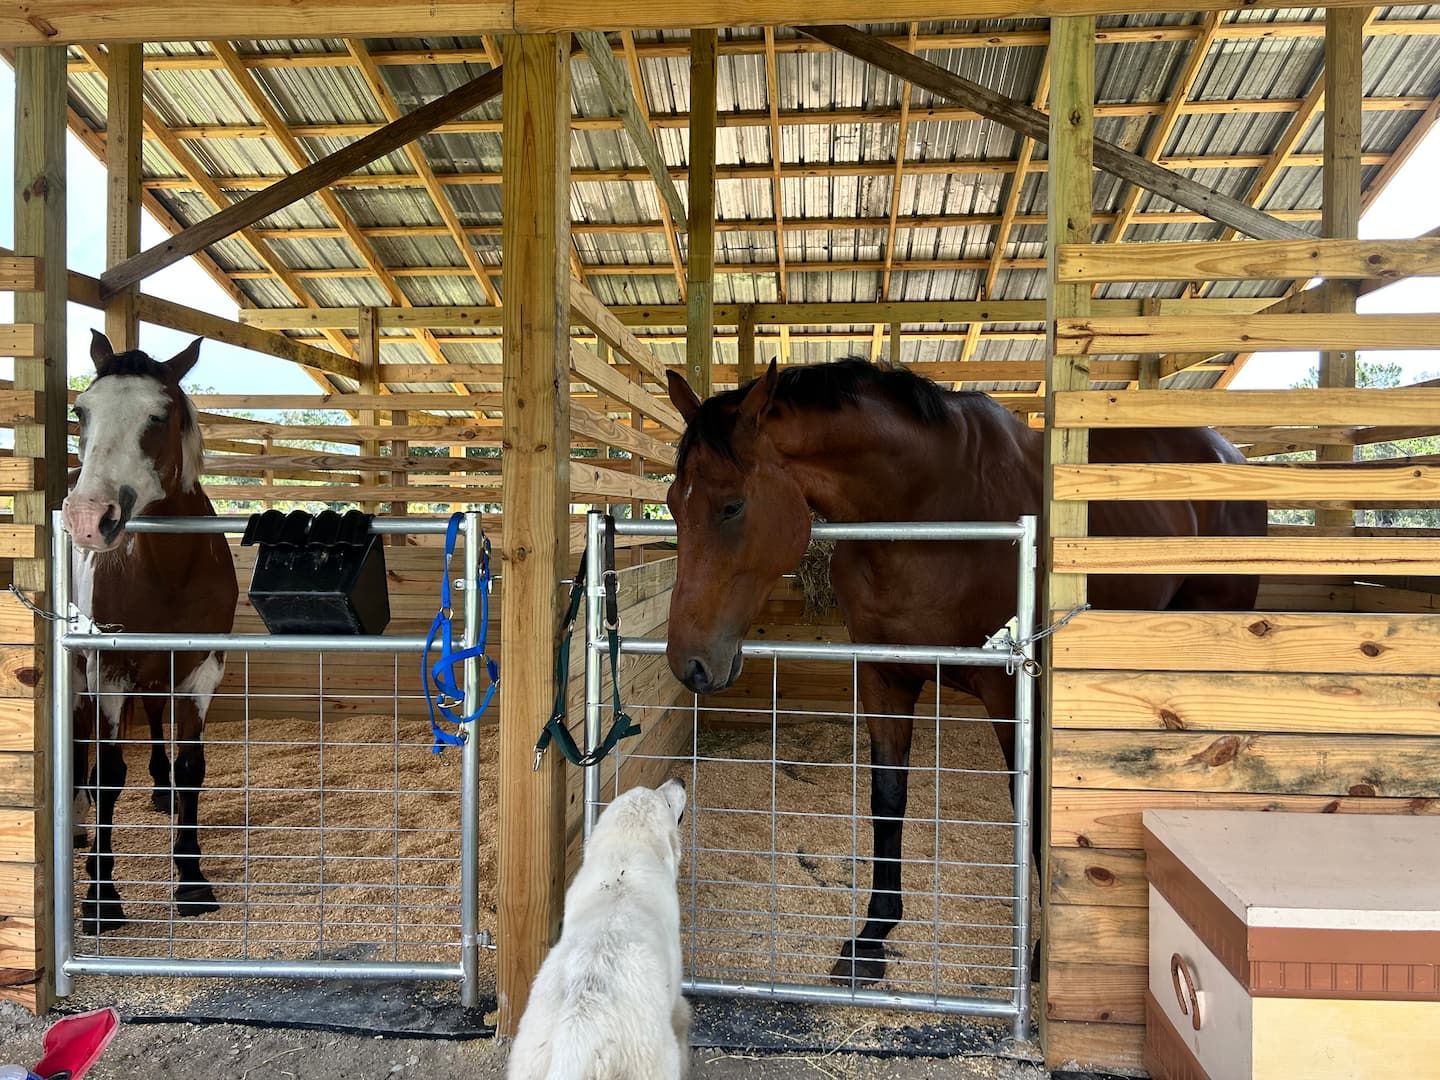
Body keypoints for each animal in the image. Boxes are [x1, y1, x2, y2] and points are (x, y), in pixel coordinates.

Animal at [63, 330, 239, 934]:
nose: (88, 520)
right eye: (82, 410)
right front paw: (100, 897)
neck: (169, 567)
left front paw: (191, 880)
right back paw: (77, 822)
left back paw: (159, 792)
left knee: (156, 718)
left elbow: (191, 768)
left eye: (158, 416)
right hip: (83, 671)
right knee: (80, 741)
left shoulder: (202, 669)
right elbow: (110, 774)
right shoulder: (111, 668)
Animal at [662, 357, 1264, 984]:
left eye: (732, 505)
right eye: (673, 503)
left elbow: (1029, 806)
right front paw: (873, 935)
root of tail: (1225, 450)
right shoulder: (884, 675)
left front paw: (1038, 954)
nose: (690, 663)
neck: (926, 511)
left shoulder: (1009, 688)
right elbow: (887, 796)